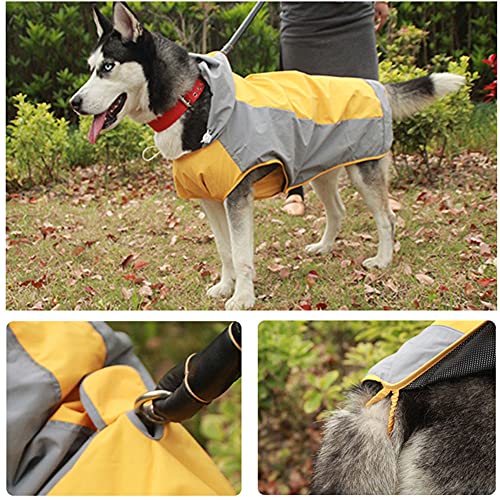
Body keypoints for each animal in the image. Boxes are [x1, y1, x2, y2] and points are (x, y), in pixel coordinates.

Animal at [71, 2, 464, 308]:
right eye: (90, 67)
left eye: (108, 67)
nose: (74, 103)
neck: (192, 100)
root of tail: (375, 85)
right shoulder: (210, 200)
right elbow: (226, 251)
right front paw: (225, 287)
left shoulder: (237, 197)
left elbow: (242, 254)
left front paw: (243, 298)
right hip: (320, 172)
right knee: (337, 211)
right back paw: (324, 248)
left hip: (363, 171)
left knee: (386, 219)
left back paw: (382, 260)